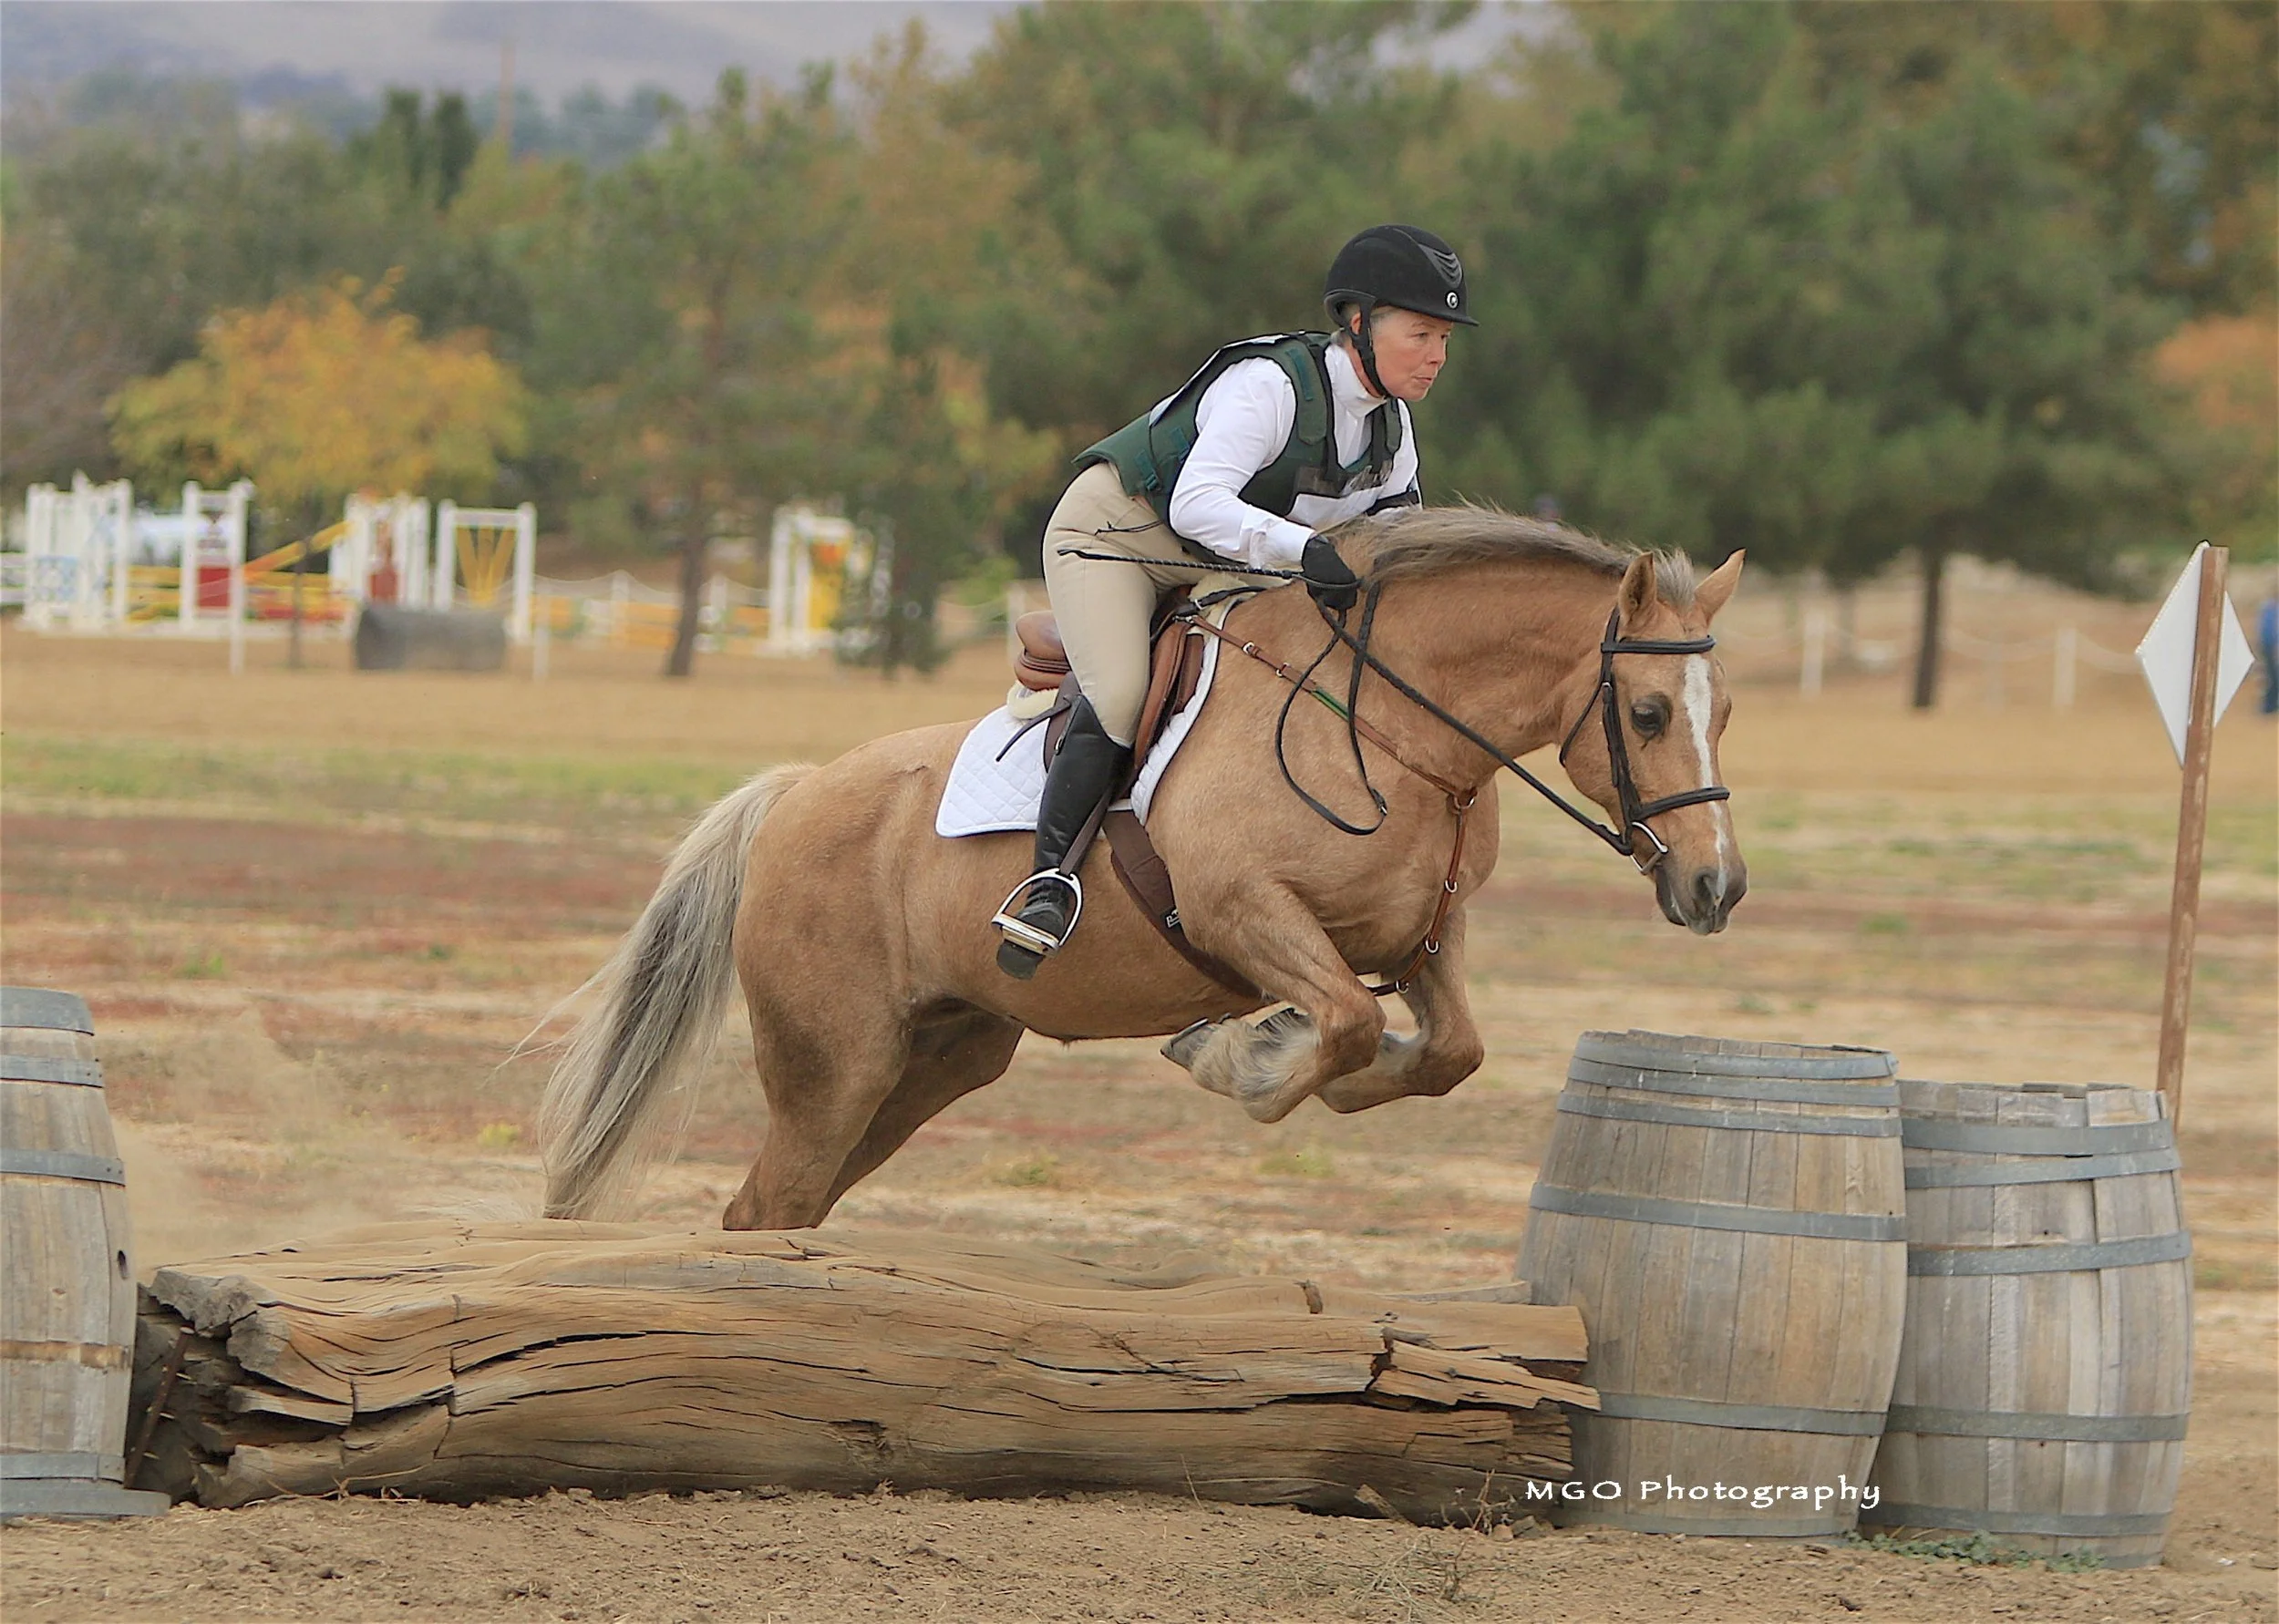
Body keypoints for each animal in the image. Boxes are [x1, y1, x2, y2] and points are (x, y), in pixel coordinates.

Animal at [537, 507, 1746, 1228]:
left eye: (1725, 713)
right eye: (1647, 714)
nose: (1715, 888)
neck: (1390, 729)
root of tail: (795, 795)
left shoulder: (1423, 934)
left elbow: (1446, 1050)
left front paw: (1281, 1056)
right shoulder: (1243, 911)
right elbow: (1347, 1022)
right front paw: (1240, 1057)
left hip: (937, 1059)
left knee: (792, 1204)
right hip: (833, 1062)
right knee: (768, 1203)